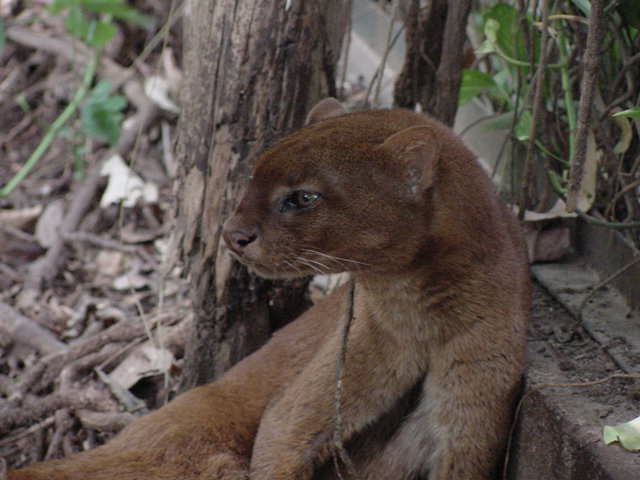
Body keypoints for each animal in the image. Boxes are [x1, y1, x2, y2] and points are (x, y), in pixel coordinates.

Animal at [10, 99, 528, 478]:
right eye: (255, 177)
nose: (231, 233)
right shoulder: (293, 418)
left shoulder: (468, 427)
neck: (416, 311)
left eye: (303, 197)